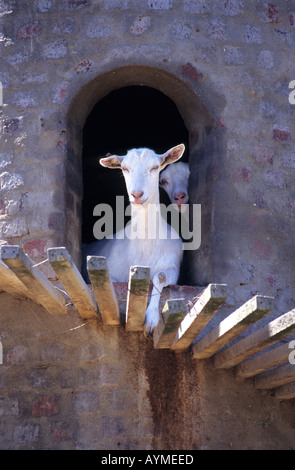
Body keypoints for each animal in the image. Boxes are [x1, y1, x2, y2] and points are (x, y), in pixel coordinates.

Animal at [83, 143, 185, 334]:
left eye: (155, 167)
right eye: (125, 168)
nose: (137, 194)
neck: (145, 249)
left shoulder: (172, 265)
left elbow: (160, 277)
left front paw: (151, 320)